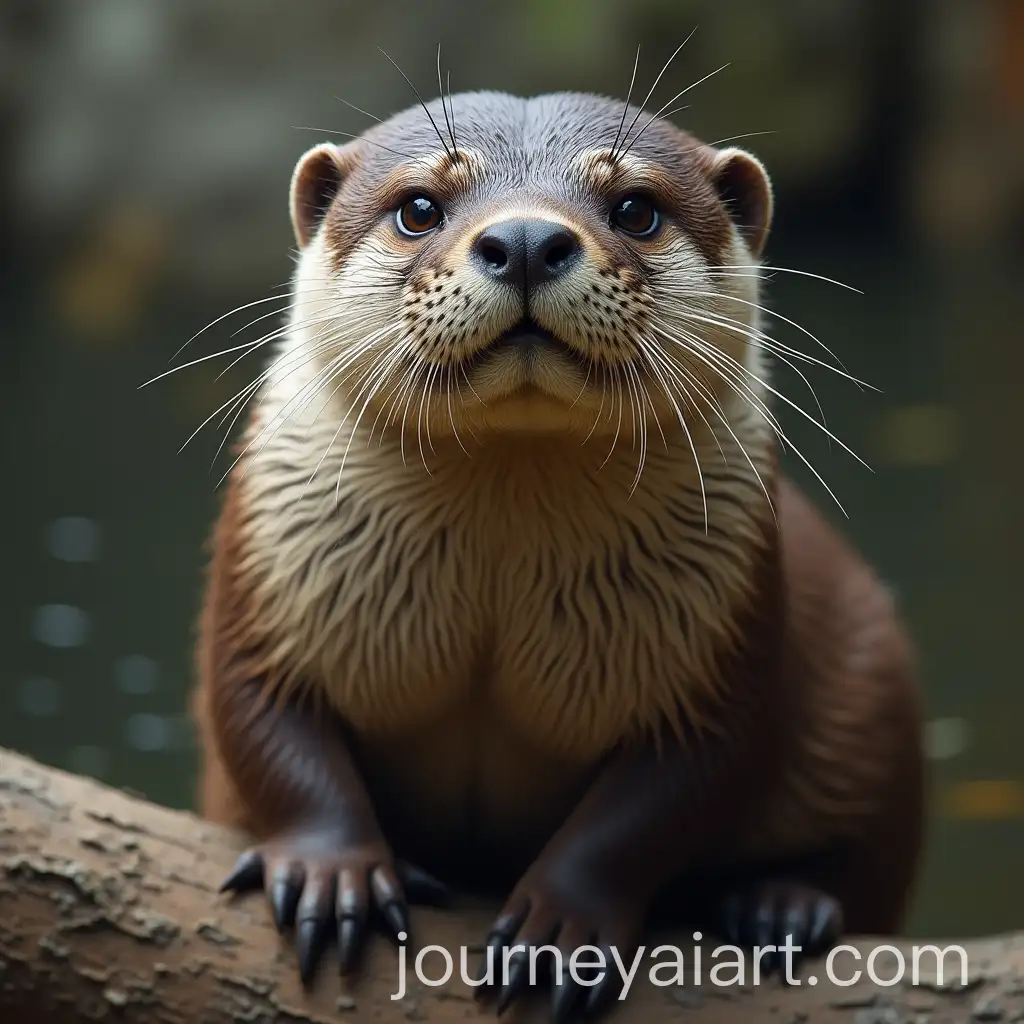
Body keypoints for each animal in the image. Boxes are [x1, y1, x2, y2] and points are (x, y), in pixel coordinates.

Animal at [190, 89, 925, 1019]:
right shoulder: (267, 577)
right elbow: (263, 721)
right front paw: (333, 874)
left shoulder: (724, 637)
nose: (529, 240)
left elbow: (670, 796)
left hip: (875, 687)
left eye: (636, 209)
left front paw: (560, 926)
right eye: (419, 206)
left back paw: (782, 906)